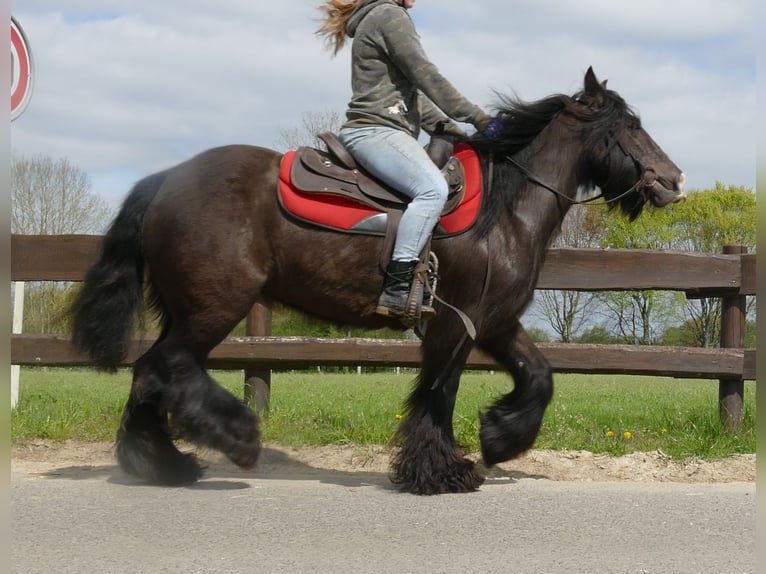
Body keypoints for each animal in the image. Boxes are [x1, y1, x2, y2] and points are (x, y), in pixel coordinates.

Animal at [70, 68, 684, 496]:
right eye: (629, 127)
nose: (674, 180)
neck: (505, 209)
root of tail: (165, 179)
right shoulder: (453, 325)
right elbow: (438, 394)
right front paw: (440, 472)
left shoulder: (494, 322)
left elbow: (539, 378)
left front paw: (497, 437)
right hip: (213, 308)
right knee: (168, 367)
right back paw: (235, 439)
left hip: (185, 309)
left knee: (150, 374)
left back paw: (159, 463)